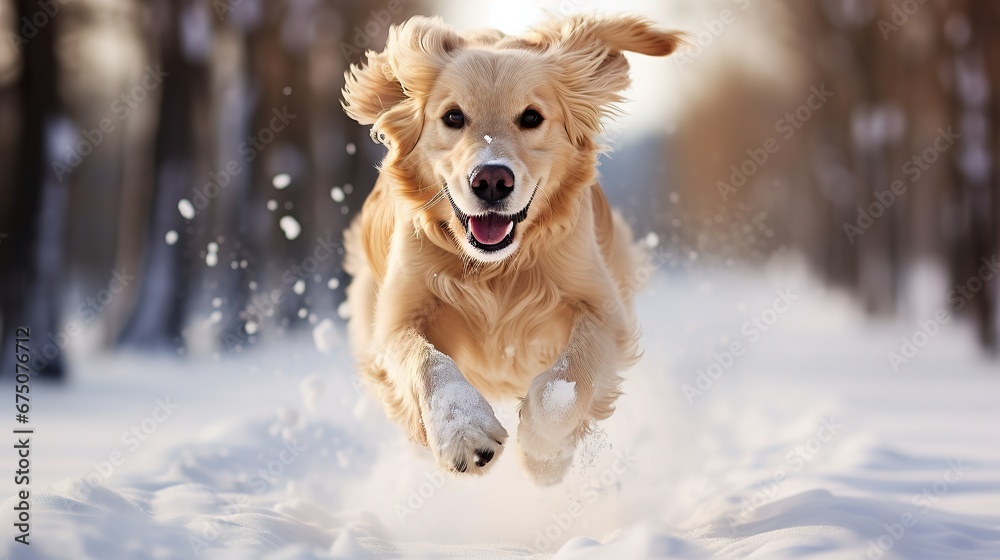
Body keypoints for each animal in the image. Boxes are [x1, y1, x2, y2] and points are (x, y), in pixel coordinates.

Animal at [342, 13, 680, 486]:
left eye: (532, 117)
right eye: (452, 116)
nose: (491, 180)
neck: (496, 269)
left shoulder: (603, 308)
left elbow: (570, 374)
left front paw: (545, 450)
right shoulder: (395, 318)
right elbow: (428, 363)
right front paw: (466, 434)